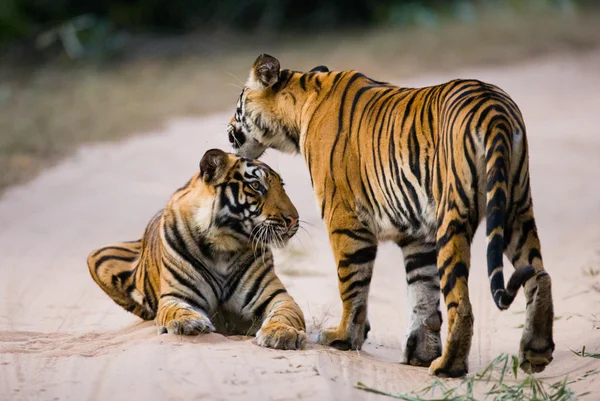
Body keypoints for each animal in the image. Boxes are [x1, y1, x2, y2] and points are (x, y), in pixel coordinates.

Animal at [85, 148, 304, 348]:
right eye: (256, 186)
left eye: (282, 186)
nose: (294, 219)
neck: (224, 245)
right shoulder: (176, 295)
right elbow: (177, 309)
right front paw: (188, 322)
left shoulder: (276, 296)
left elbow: (285, 314)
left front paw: (281, 333)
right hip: (97, 255)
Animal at [227, 54, 556, 376]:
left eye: (238, 105)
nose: (228, 131)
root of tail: (494, 109)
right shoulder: (418, 235)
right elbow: (423, 293)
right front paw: (421, 353)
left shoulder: (343, 218)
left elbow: (352, 285)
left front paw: (343, 337)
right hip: (515, 207)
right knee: (539, 275)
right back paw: (536, 353)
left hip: (454, 215)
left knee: (461, 301)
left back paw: (448, 366)